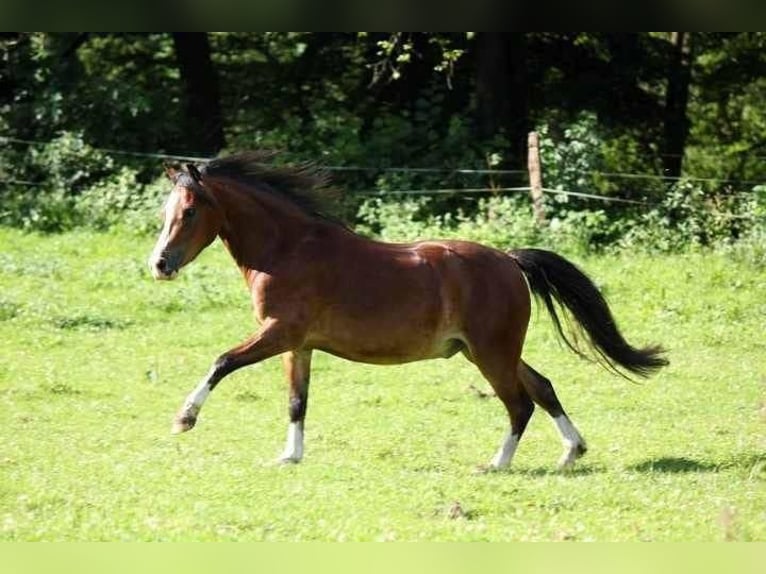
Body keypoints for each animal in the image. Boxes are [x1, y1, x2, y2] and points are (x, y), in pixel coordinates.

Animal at [148, 153, 664, 472]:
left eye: (190, 211)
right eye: (165, 212)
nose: (159, 264)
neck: (288, 250)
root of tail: (509, 260)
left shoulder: (278, 333)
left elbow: (222, 362)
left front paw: (183, 419)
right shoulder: (298, 345)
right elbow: (297, 401)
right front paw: (289, 456)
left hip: (491, 353)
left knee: (520, 403)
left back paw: (496, 464)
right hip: (489, 351)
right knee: (543, 387)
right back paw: (571, 452)